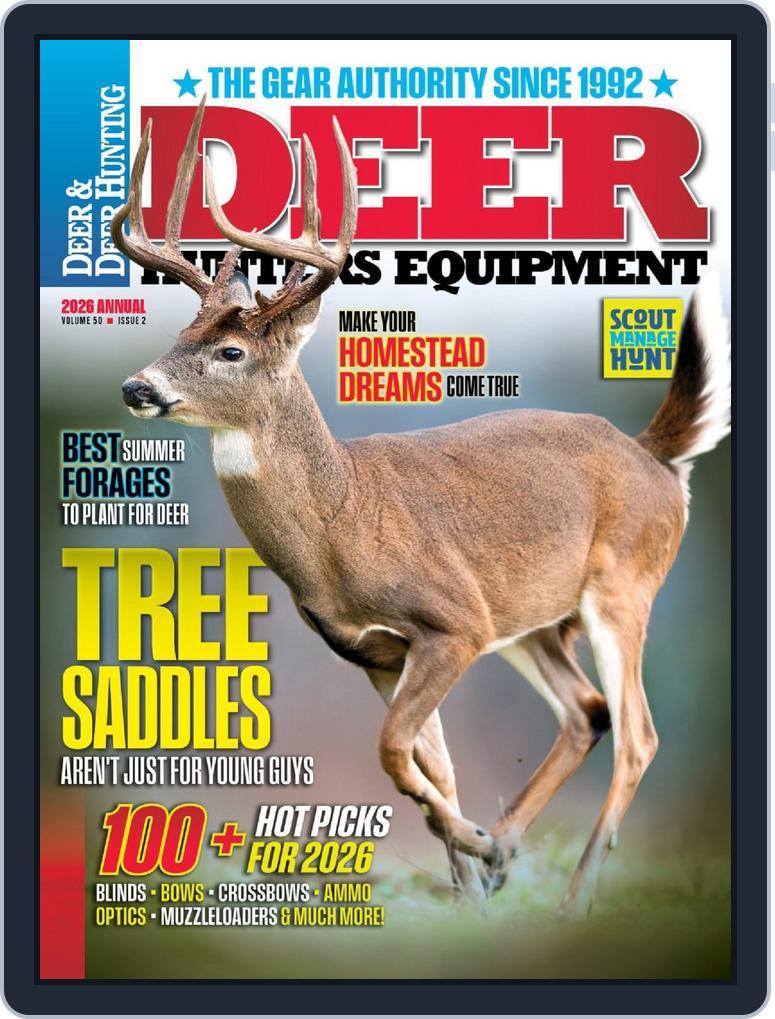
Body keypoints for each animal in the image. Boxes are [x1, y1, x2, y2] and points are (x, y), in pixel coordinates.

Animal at [115, 97, 730, 915]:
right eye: (179, 333)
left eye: (230, 353)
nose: (136, 386)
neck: (339, 527)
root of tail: (656, 455)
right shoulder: (379, 651)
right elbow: (424, 763)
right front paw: (473, 877)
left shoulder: (452, 622)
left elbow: (391, 751)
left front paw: (477, 849)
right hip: (532, 618)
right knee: (586, 711)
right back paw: (508, 847)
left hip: (623, 585)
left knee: (638, 734)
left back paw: (573, 895)